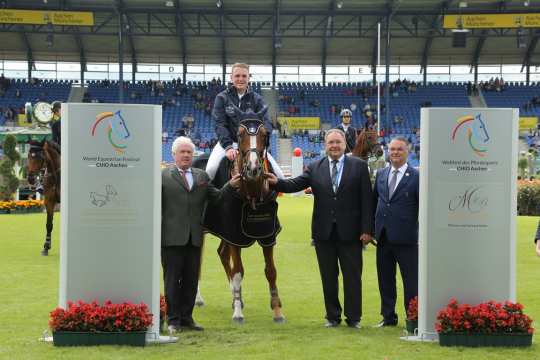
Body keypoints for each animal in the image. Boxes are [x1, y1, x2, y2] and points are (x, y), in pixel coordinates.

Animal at [202, 109, 284, 324]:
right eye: (239, 135)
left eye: (264, 134)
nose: (253, 168)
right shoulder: (233, 236)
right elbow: (238, 272)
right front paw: (238, 312)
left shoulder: (267, 235)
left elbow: (271, 271)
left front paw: (277, 310)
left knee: (222, 254)